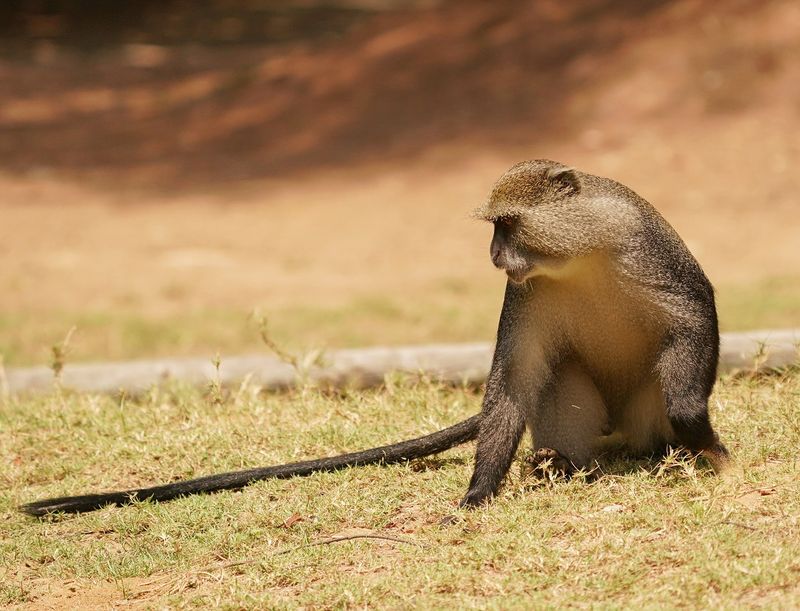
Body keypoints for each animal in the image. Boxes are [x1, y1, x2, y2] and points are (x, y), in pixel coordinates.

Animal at [20, 159, 728, 517]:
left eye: (508, 224)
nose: (495, 256)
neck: (578, 256)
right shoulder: (526, 296)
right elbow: (516, 376)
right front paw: (478, 494)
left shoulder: (644, 246)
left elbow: (692, 319)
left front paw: (703, 436)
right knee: (557, 375)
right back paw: (562, 465)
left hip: (639, 414)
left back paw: (666, 449)